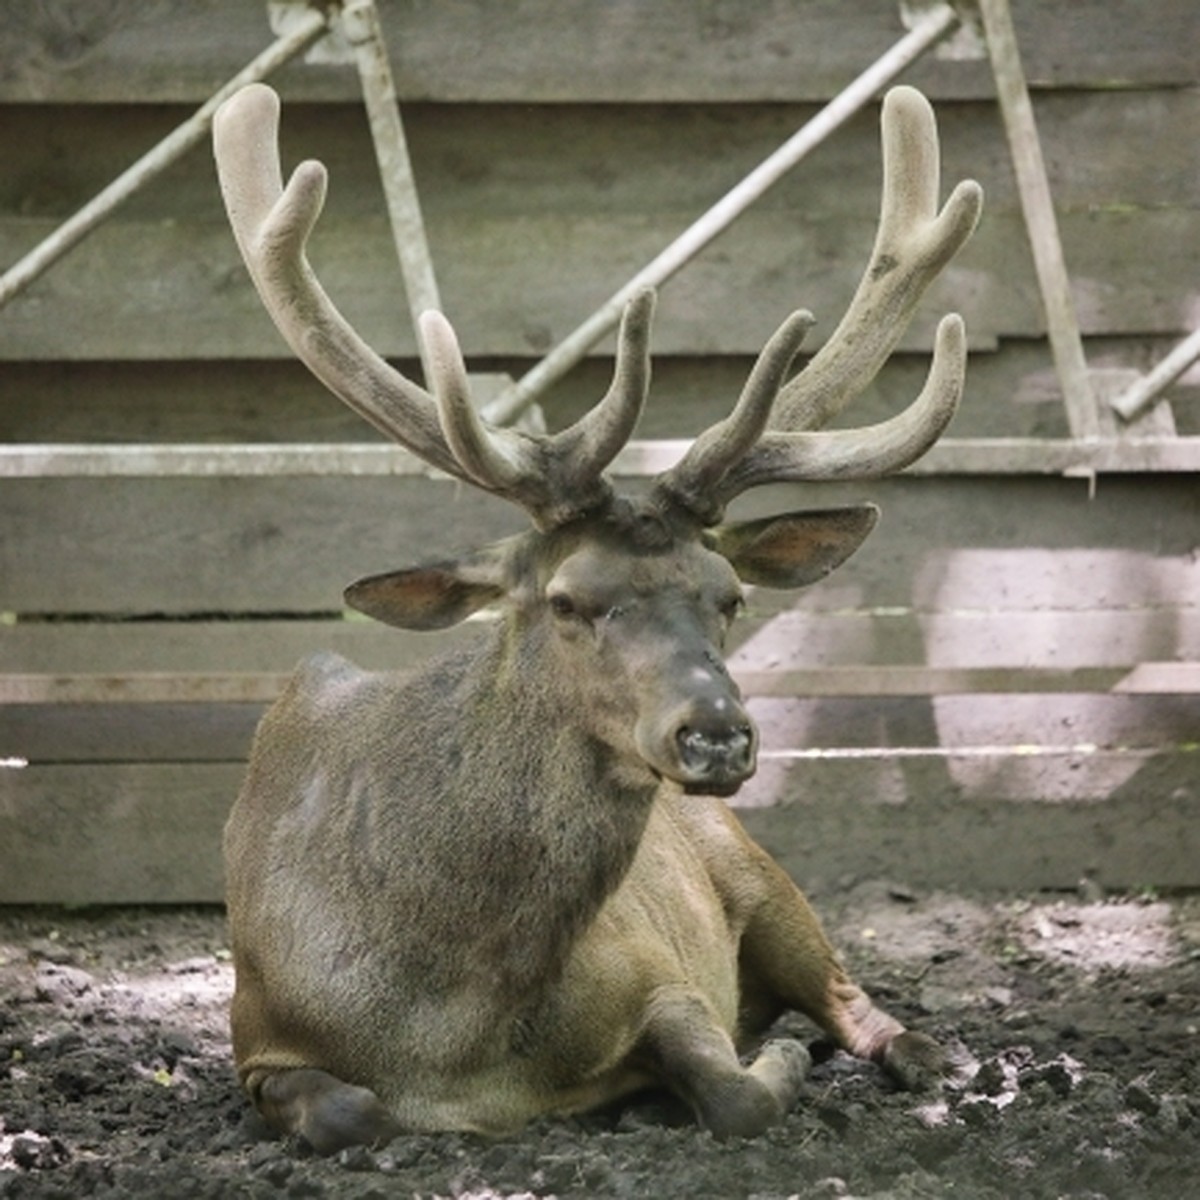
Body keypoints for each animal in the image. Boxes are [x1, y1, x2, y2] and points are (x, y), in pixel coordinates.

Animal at [213, 77, 984, 1152]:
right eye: (571, 599)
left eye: (730, 594)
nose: (717, 734)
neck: (454, 1023)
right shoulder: (258, 1034)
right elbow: (345, 1109)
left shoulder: (661, 973)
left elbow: (735, 1090)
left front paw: (769, 1064)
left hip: (760, 873)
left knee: (851, 997)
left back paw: (916, 1056)